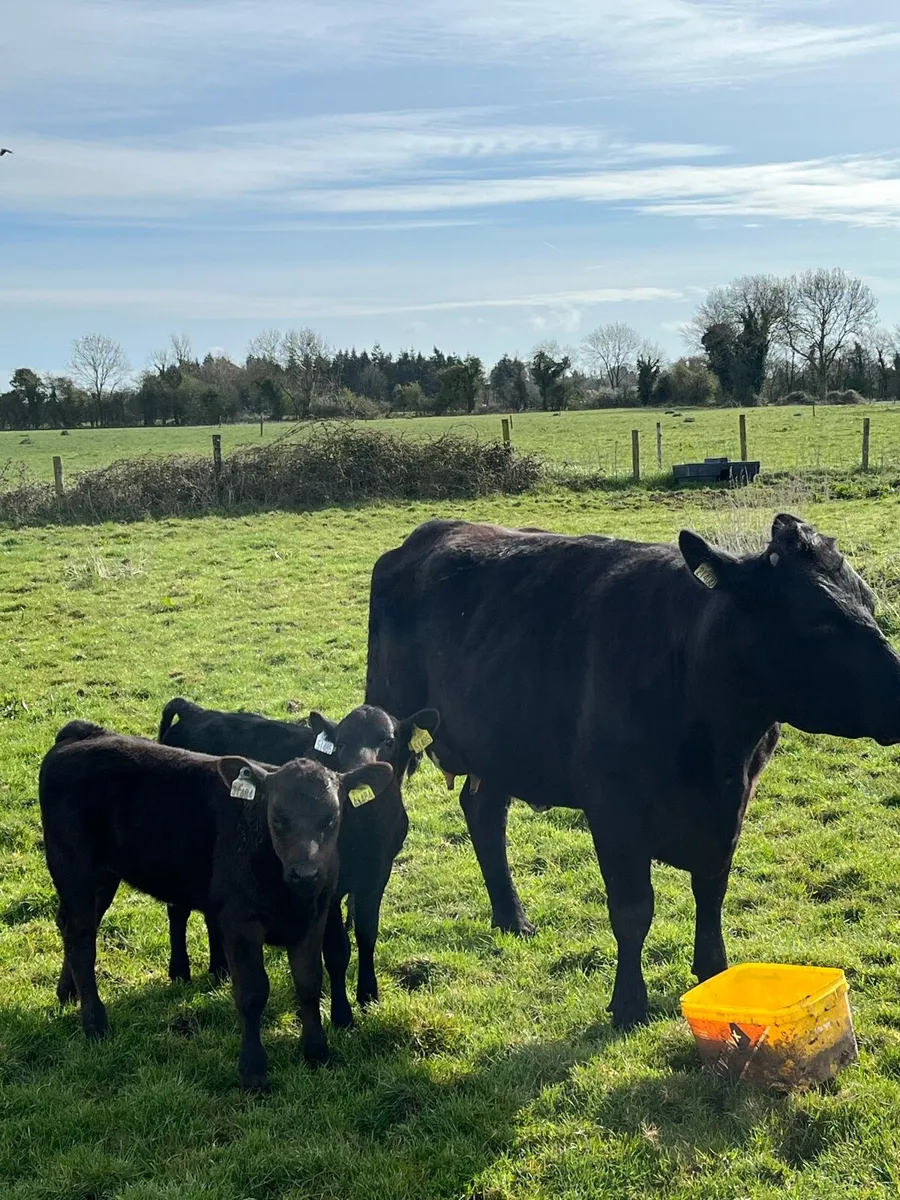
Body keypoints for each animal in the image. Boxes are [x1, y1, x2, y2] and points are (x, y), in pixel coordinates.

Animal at [39, 719, 392, 1090]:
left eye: (332, 818)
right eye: (278, 817)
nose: (305, 873)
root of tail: (83, 733)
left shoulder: (314, 916)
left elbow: (309, 983)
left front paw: (317, 1052)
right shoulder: (239, 921)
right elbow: (252, 993)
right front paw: (253, 1070)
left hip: (103, 876)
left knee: (73, 926)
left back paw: (68, 992)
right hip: (74, 868)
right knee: (81, 939)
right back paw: (95, 1023)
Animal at [158, 696, 440, 1024]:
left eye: (388, 741)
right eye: (341, 743)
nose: (359, 769)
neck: (365, 828)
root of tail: (196, 712)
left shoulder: (377, 876)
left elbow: (367, 935)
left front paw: (369, 996)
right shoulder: (327, 886)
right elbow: (337, 949)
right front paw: (342, 1015)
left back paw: (220, 969)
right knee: (177, 908)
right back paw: (180, 971)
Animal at [365, 513, 900, 1029]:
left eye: (870, 603)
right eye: (819, 621)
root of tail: (427, 534)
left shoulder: (733, 805)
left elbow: (712, 891)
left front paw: (714, 973)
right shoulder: (614, 812)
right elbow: (632, 909)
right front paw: (628, 1004)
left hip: (497, 743)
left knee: (484, 814)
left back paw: (512, 918)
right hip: (388, 729)